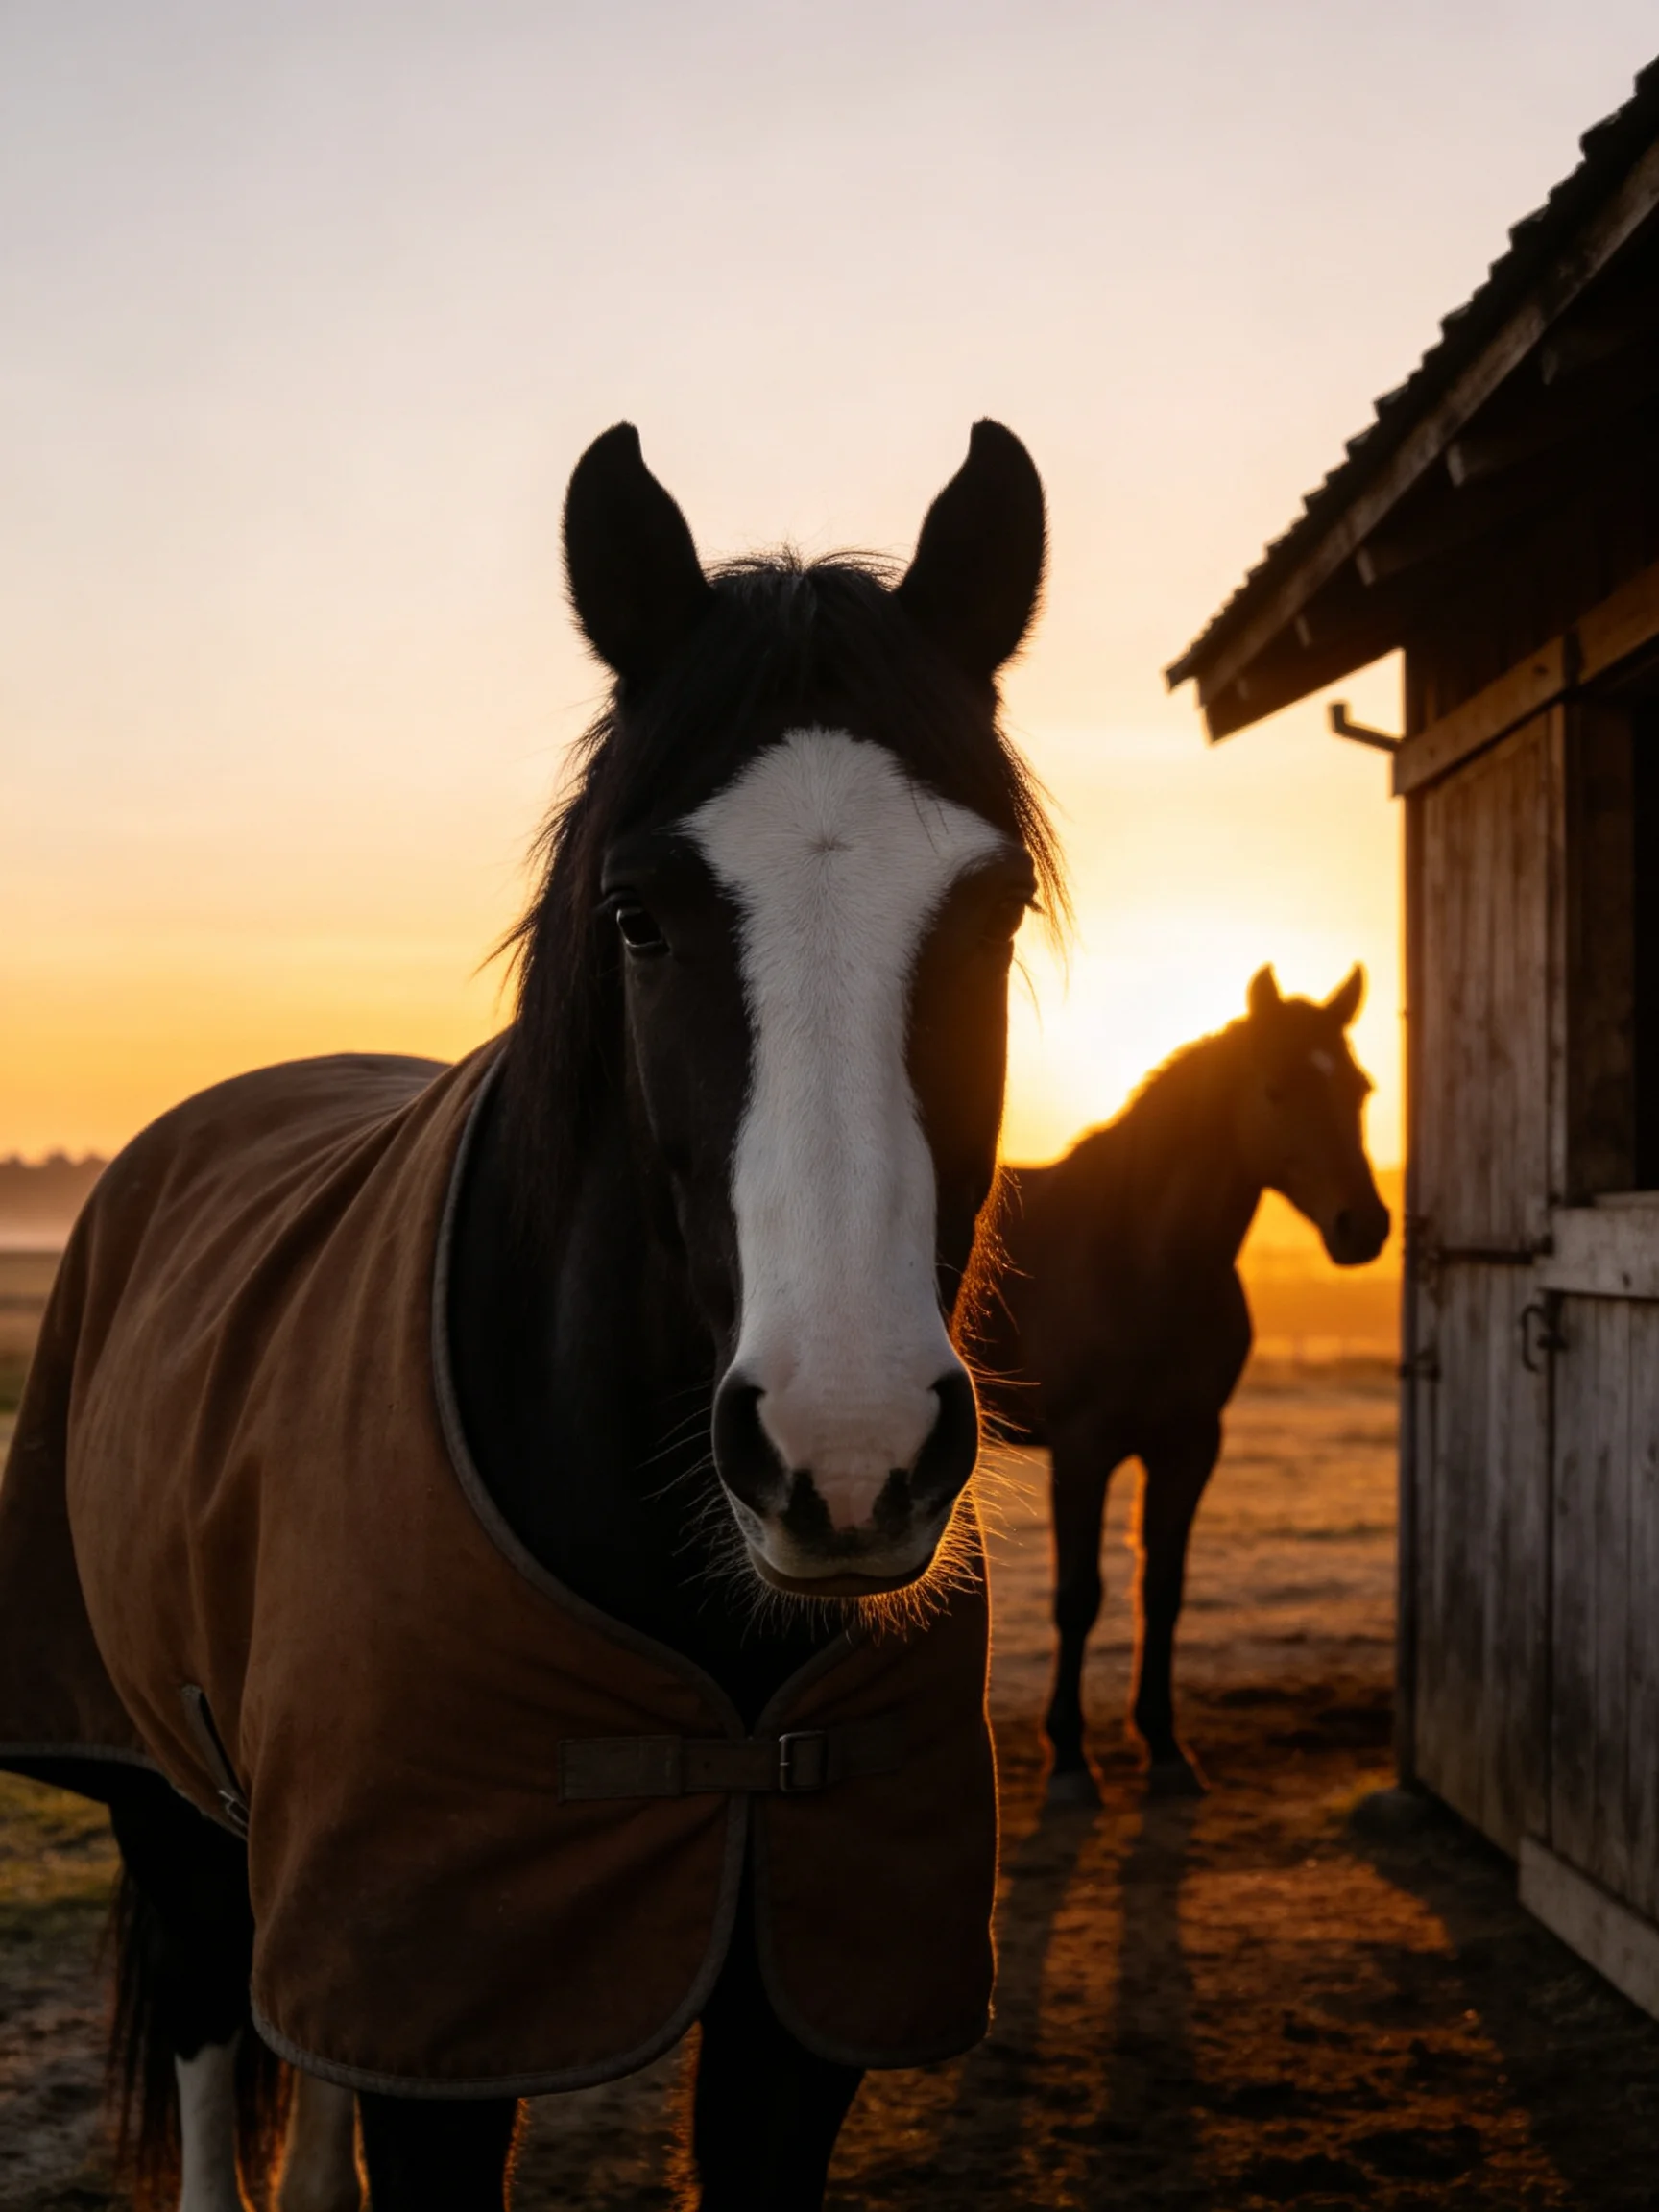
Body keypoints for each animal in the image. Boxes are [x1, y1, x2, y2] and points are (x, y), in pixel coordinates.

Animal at [0, 420, 1061, 2211]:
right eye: (637, 916)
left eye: (989, 910)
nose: (845, 1455)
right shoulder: (452, 1988)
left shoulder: (798, 2002)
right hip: (164, 1798)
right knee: (216, 2033)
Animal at [976, 964, 1390, 1803]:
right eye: (1274, 1088)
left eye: (1360, 1088)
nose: (1363, 1227)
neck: (1140, 1255)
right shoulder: (1082, 1452)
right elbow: (1078, 1597)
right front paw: (1070, 1759)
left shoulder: (1190, 1448)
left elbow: (1161, 1592)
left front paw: (1165, 1747)